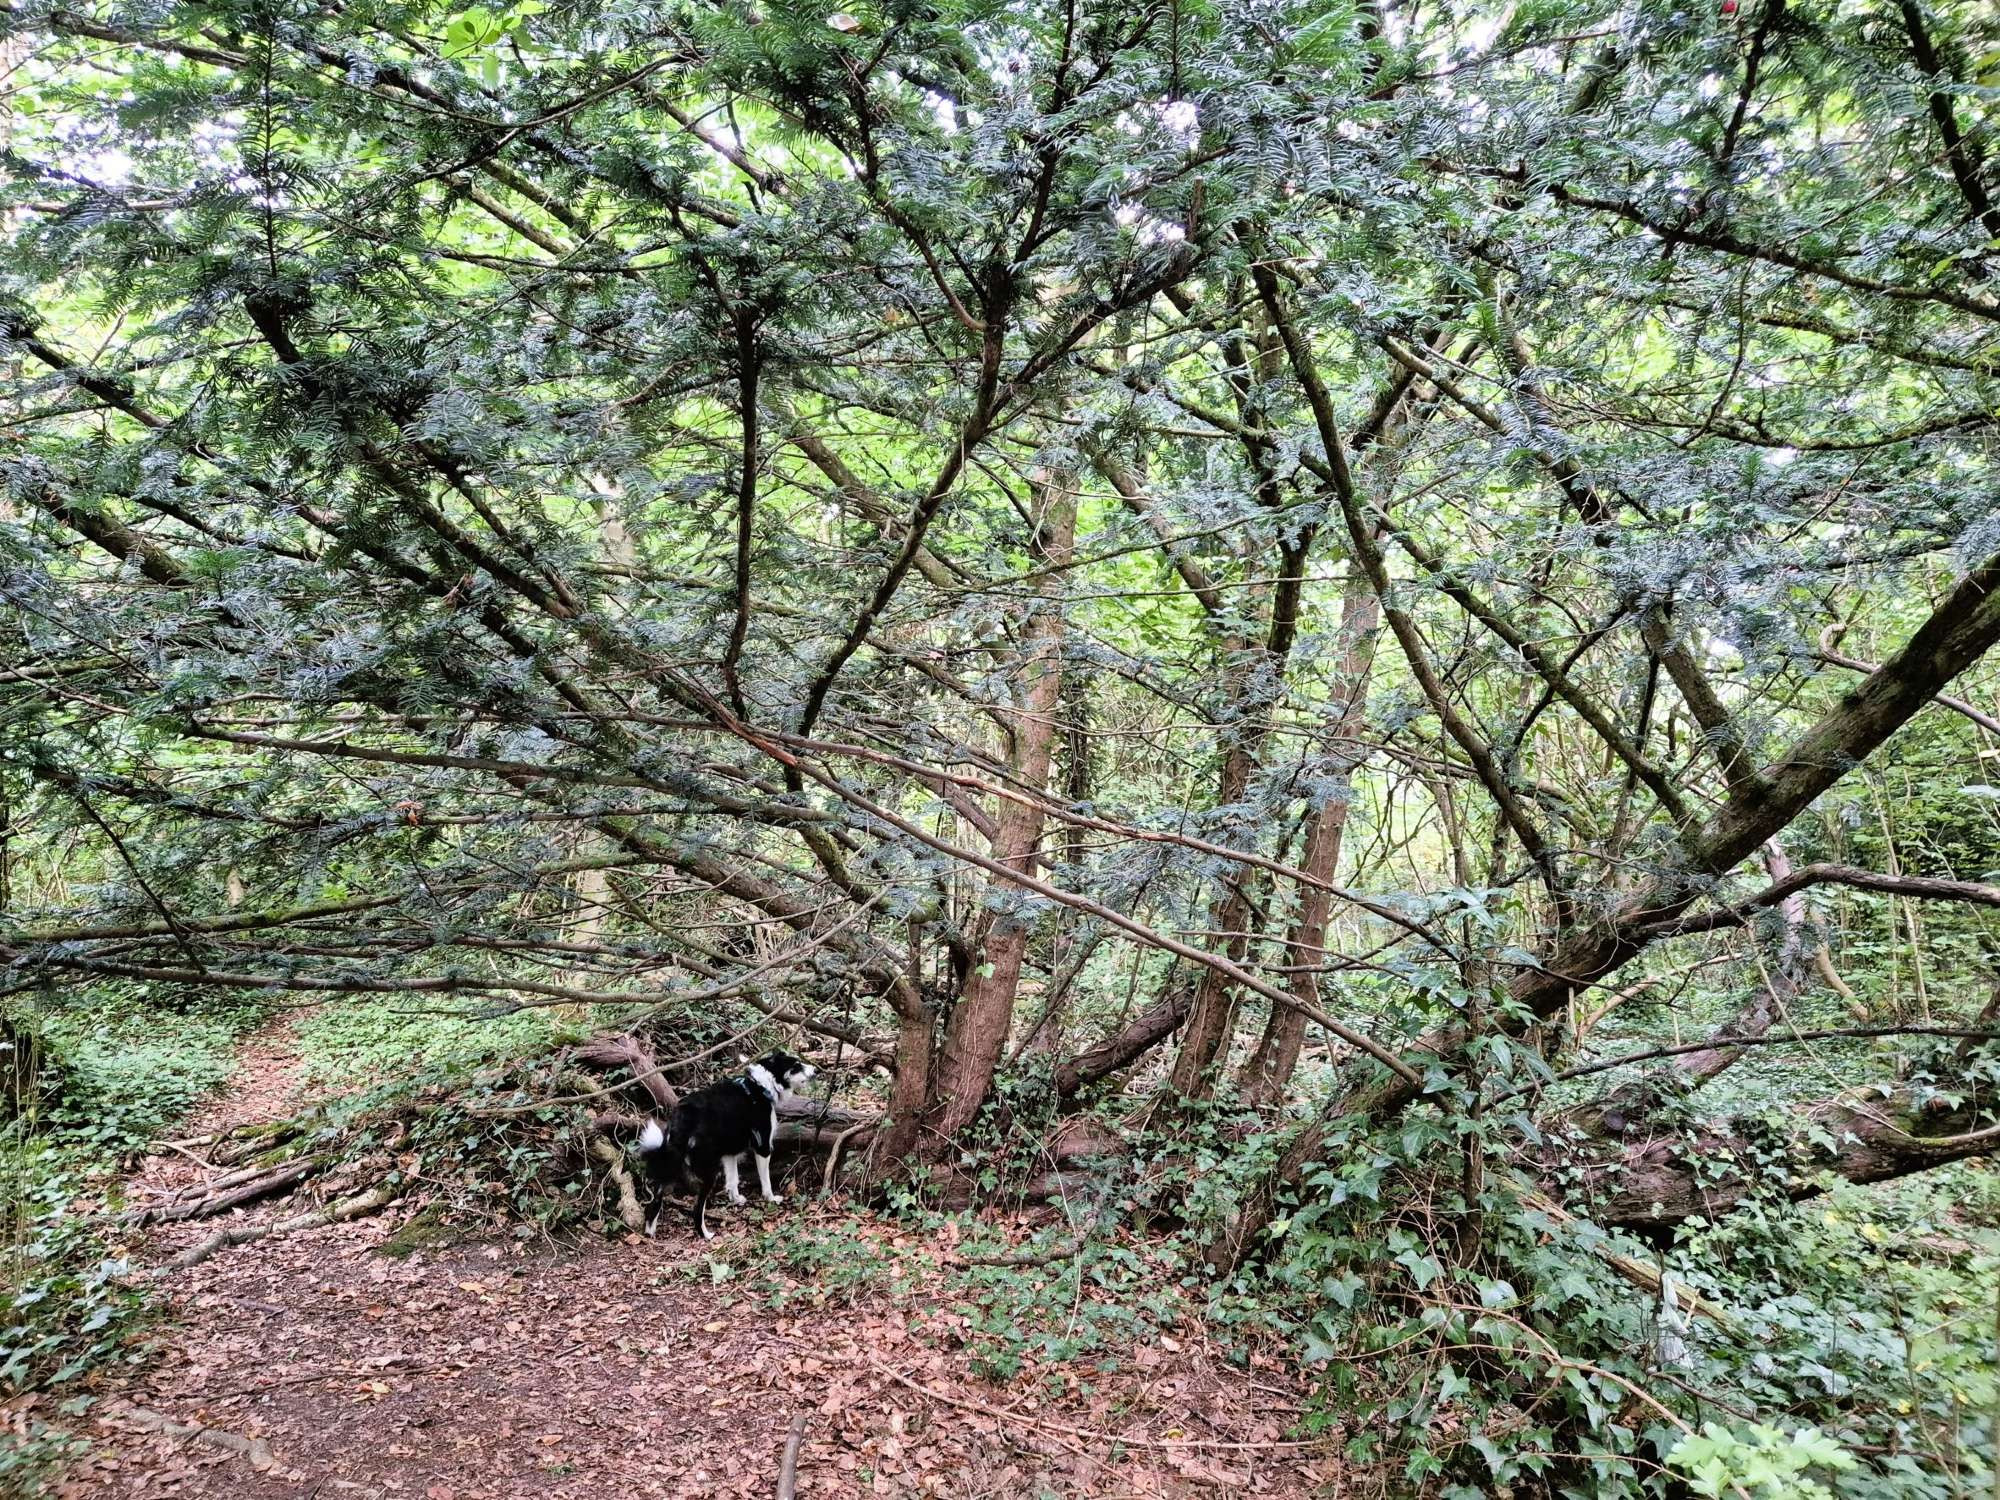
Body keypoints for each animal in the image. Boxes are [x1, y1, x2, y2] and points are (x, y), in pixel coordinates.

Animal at [628, 1048, 808, 1240]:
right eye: (796, 1066)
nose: (816, 1071)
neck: (760, 1086)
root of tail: (684, 1116)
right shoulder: (763, 1146)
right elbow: (765, 1179)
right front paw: (771, 1198)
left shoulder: (729, 1153)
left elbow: (733, 1180)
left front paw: (736, 1199)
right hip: (708, 1172)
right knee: (697, 1209)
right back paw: (706, 1235)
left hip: (671, 1166)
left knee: (654, 1201)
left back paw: (650, 1231)